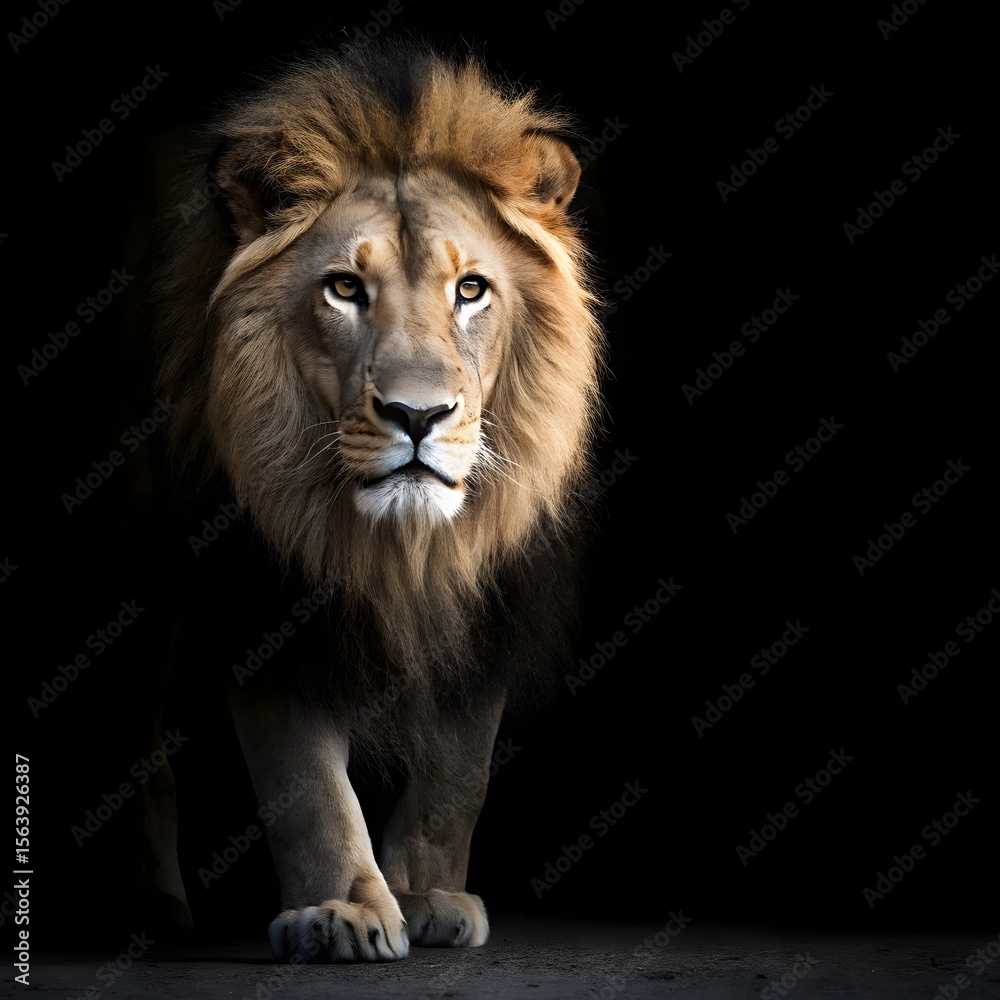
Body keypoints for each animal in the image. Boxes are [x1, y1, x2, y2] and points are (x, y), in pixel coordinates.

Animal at [145, 40, 602, 962]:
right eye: (345, 290)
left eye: (471, 290)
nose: (418, 416)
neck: (406, 549)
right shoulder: (266, 594)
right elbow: (307, 783)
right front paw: (340, 913)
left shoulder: (489, 608)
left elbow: (458, 773)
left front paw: (427, 892)